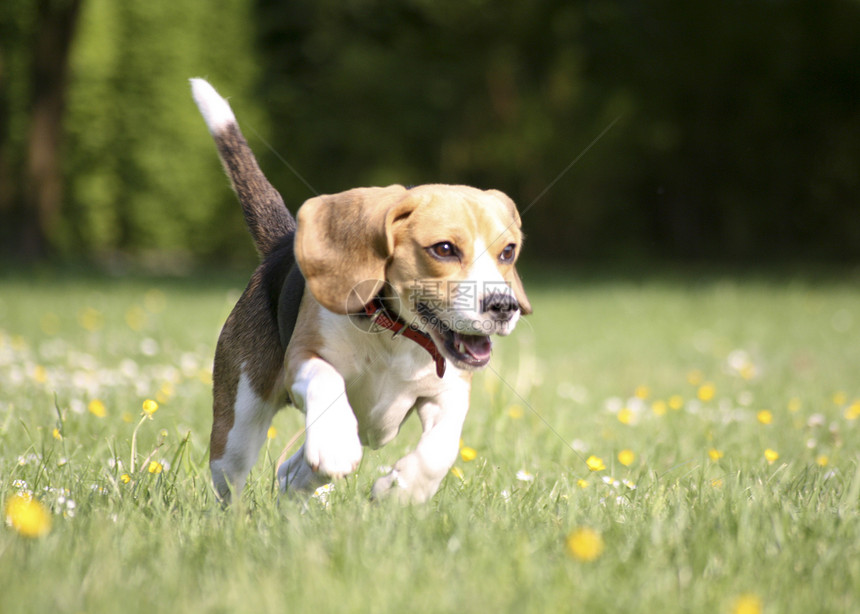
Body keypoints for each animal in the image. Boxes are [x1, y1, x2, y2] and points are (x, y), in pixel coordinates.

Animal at [190, 79, 532, 502]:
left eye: (508, 251)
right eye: (444, 249)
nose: (504, 306)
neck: (397, 333)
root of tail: (281, 244)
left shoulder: (451, 390)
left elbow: (443, 448)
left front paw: (402, 490)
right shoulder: (303, 356)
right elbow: (326, 379)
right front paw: (336, 443)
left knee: (293, 471)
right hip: (237, 425)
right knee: (234, 480)